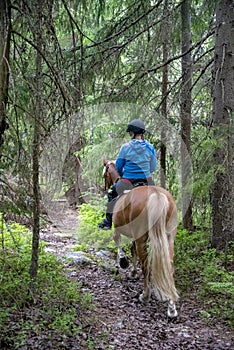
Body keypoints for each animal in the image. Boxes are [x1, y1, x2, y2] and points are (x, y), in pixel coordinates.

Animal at [103, 160, 179, 318]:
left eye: (105, 174)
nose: (105, 187)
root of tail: (156, 195)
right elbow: (133, 251)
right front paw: (132, 272)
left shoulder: (117, 229)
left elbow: (118, 242)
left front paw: (123, 262)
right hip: (168, 237)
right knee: (169, 265)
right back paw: (171, 307)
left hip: (141, 236)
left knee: (146, 266)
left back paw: (145, 295)